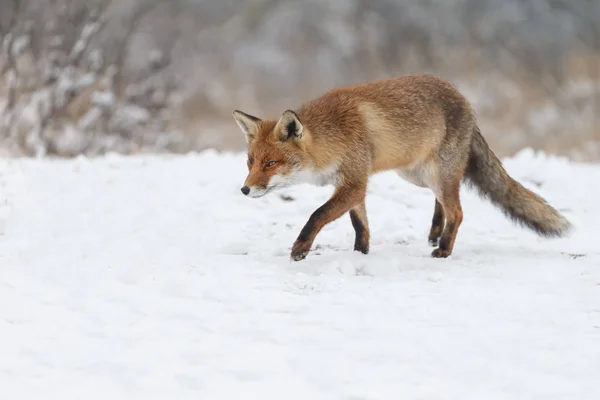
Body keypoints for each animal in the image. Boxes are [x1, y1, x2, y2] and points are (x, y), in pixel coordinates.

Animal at [231, 73, 572, 260]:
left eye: (271, 163)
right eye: (251, 162)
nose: (245, 189)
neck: (334, 138)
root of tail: (466, 102)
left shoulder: (354, 182)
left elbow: (317, 214)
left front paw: (301, 249)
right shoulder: (354, 184)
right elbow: (360, 224)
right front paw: (361, 253)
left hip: (435, 173)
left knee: (458, 210)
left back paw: (443, 249)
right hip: (417, 175)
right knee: (444, 202)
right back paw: (435, 232)